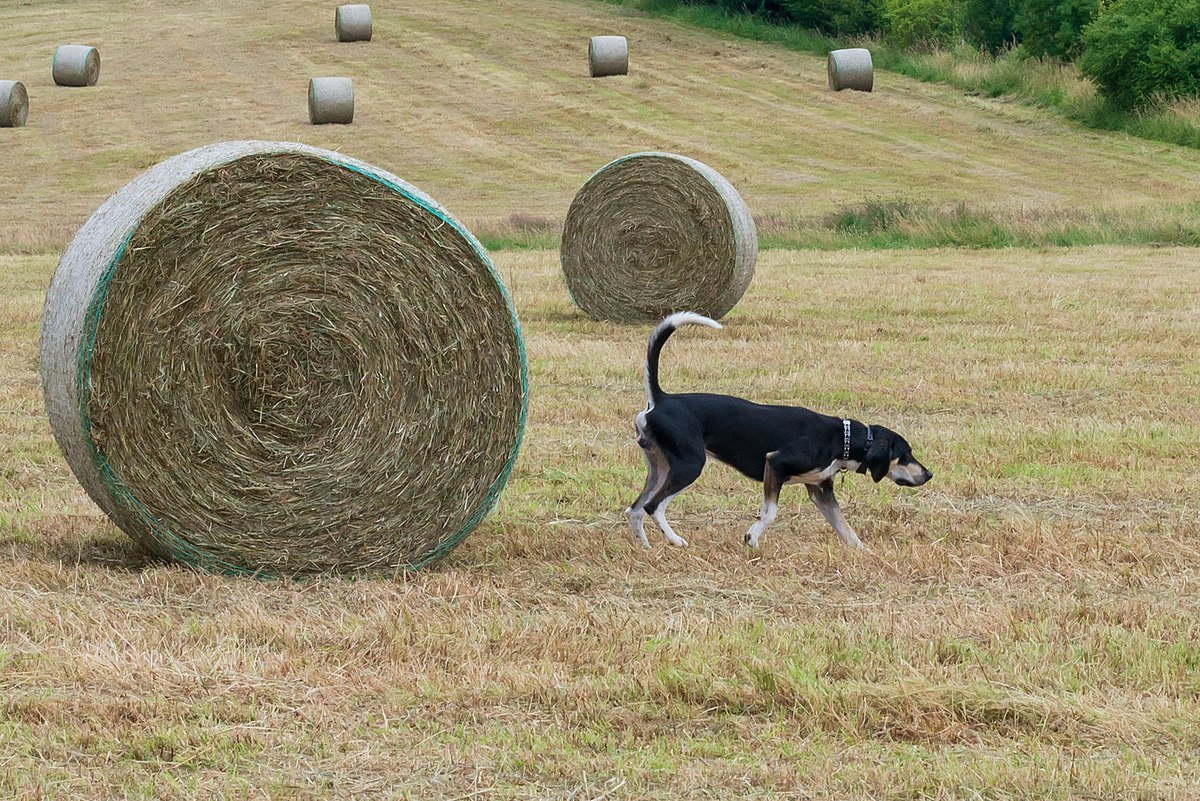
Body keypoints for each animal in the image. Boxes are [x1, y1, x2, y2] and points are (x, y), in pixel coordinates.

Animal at [628, 311, 936, 551]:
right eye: (906, 454)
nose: (929, 474)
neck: (843, 439)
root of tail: (661, 399)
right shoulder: (775, 463)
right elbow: (770, 513)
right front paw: (752, 538)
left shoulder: (820, 489)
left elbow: (845, 527)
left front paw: (863, 552)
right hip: (689, 465)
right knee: (653, 506)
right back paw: (675, 540)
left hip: (660, 468)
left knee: (634, 509)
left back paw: (645, 546)